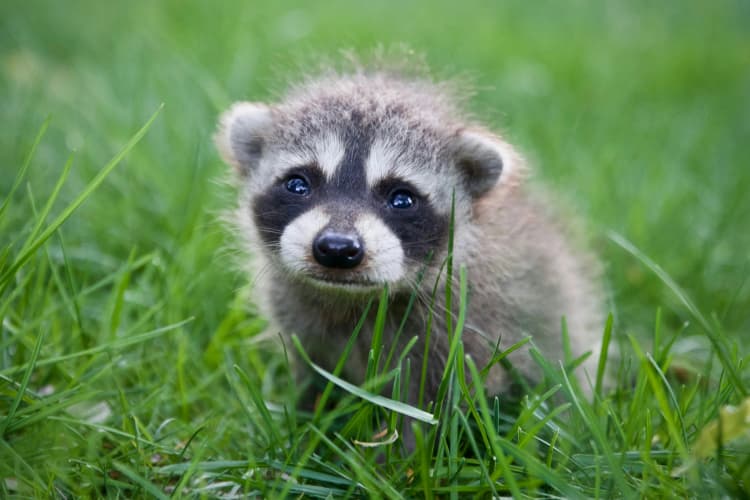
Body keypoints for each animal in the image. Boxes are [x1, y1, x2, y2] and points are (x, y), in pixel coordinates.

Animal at [214, 66, 608, 424]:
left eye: (402, 198)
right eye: (298, 184)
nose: (337, 248)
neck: (350, 299)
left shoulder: (468, 325)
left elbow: (428, 406)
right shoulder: (299, 318)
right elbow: (314, 376)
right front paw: (308, 420)